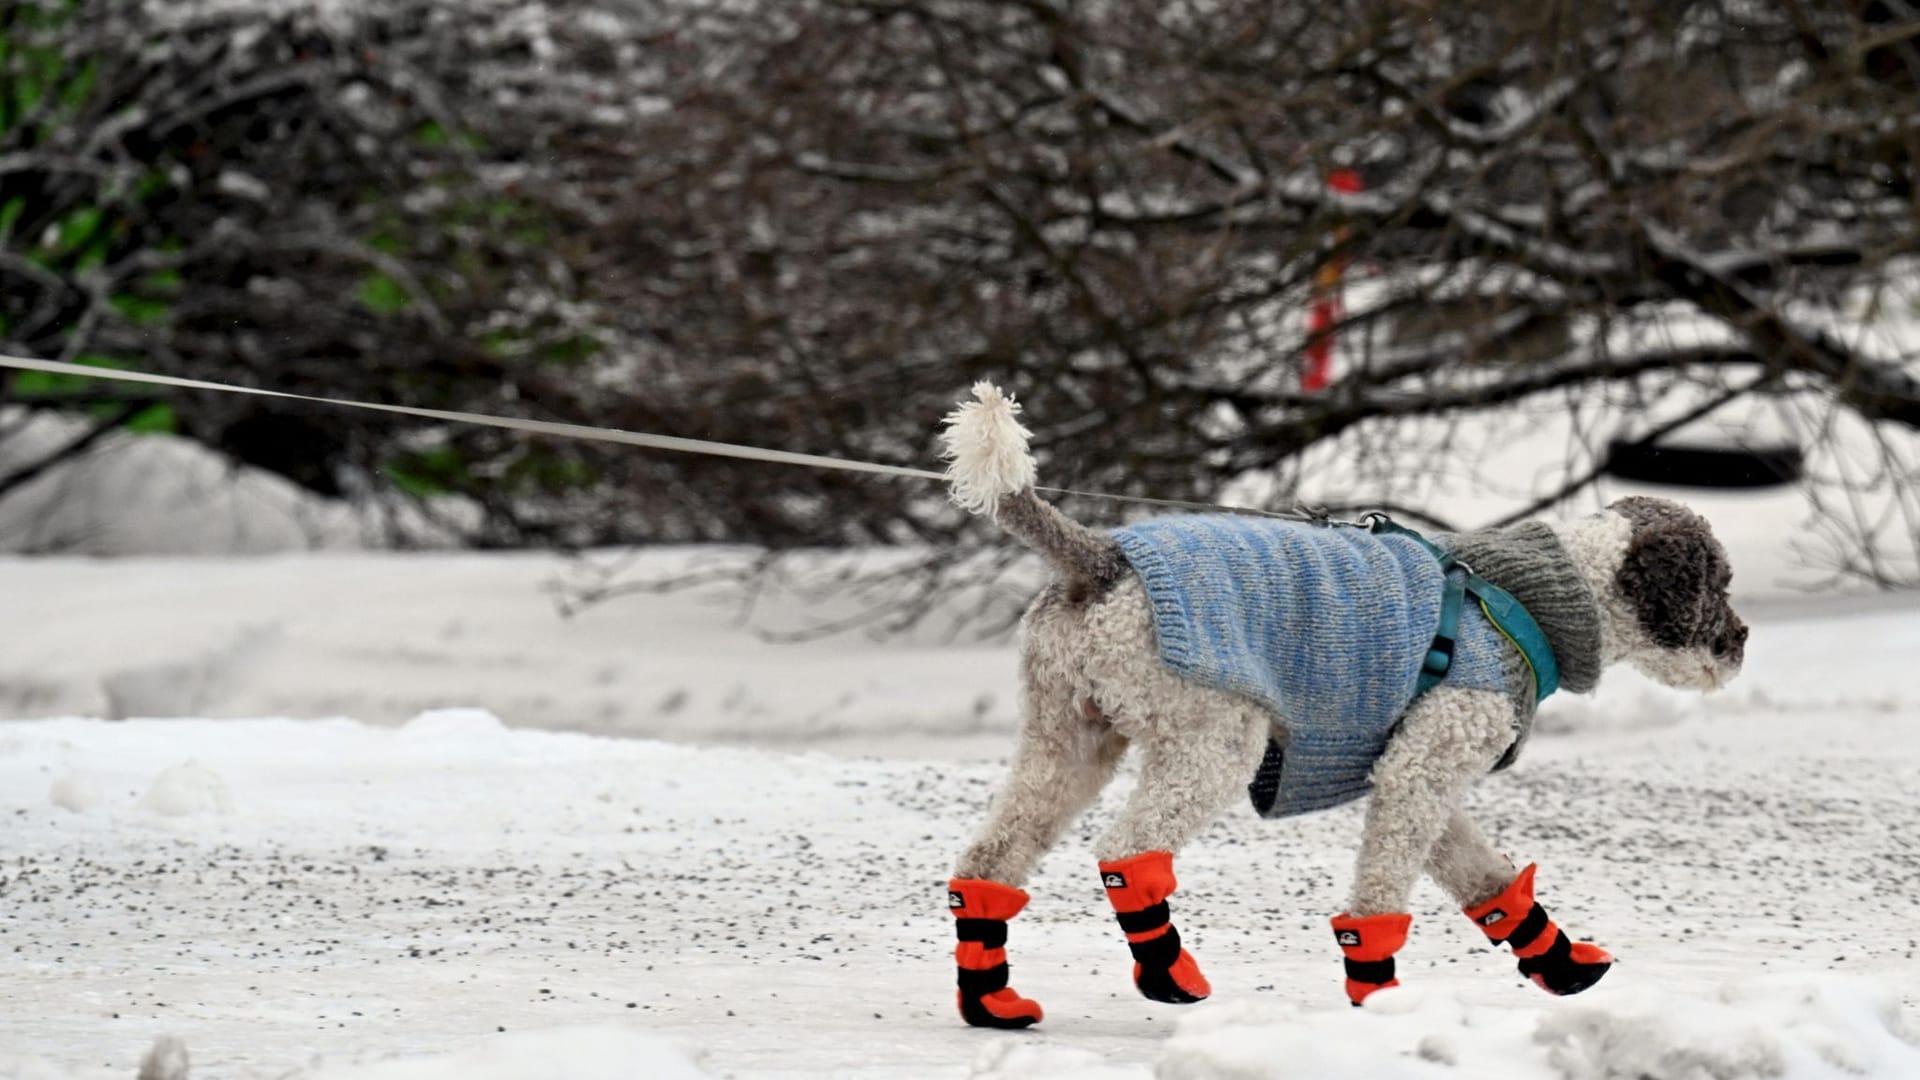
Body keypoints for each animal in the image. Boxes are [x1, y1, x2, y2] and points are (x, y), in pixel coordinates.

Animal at [936, 382, 1751, 1022]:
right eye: (1717, 583)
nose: (1741, 642)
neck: (1530, 604)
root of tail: (1102, 560)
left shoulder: (1421, 772)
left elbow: (1487, 880)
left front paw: (1560, 963)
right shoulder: (1421, 770)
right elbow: (1381, 891)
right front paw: (1378, 994)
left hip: (1068, 740)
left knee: (992, 858)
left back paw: (991, 999)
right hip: (1211, 741)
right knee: (1128, 851)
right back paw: (1169, 975)